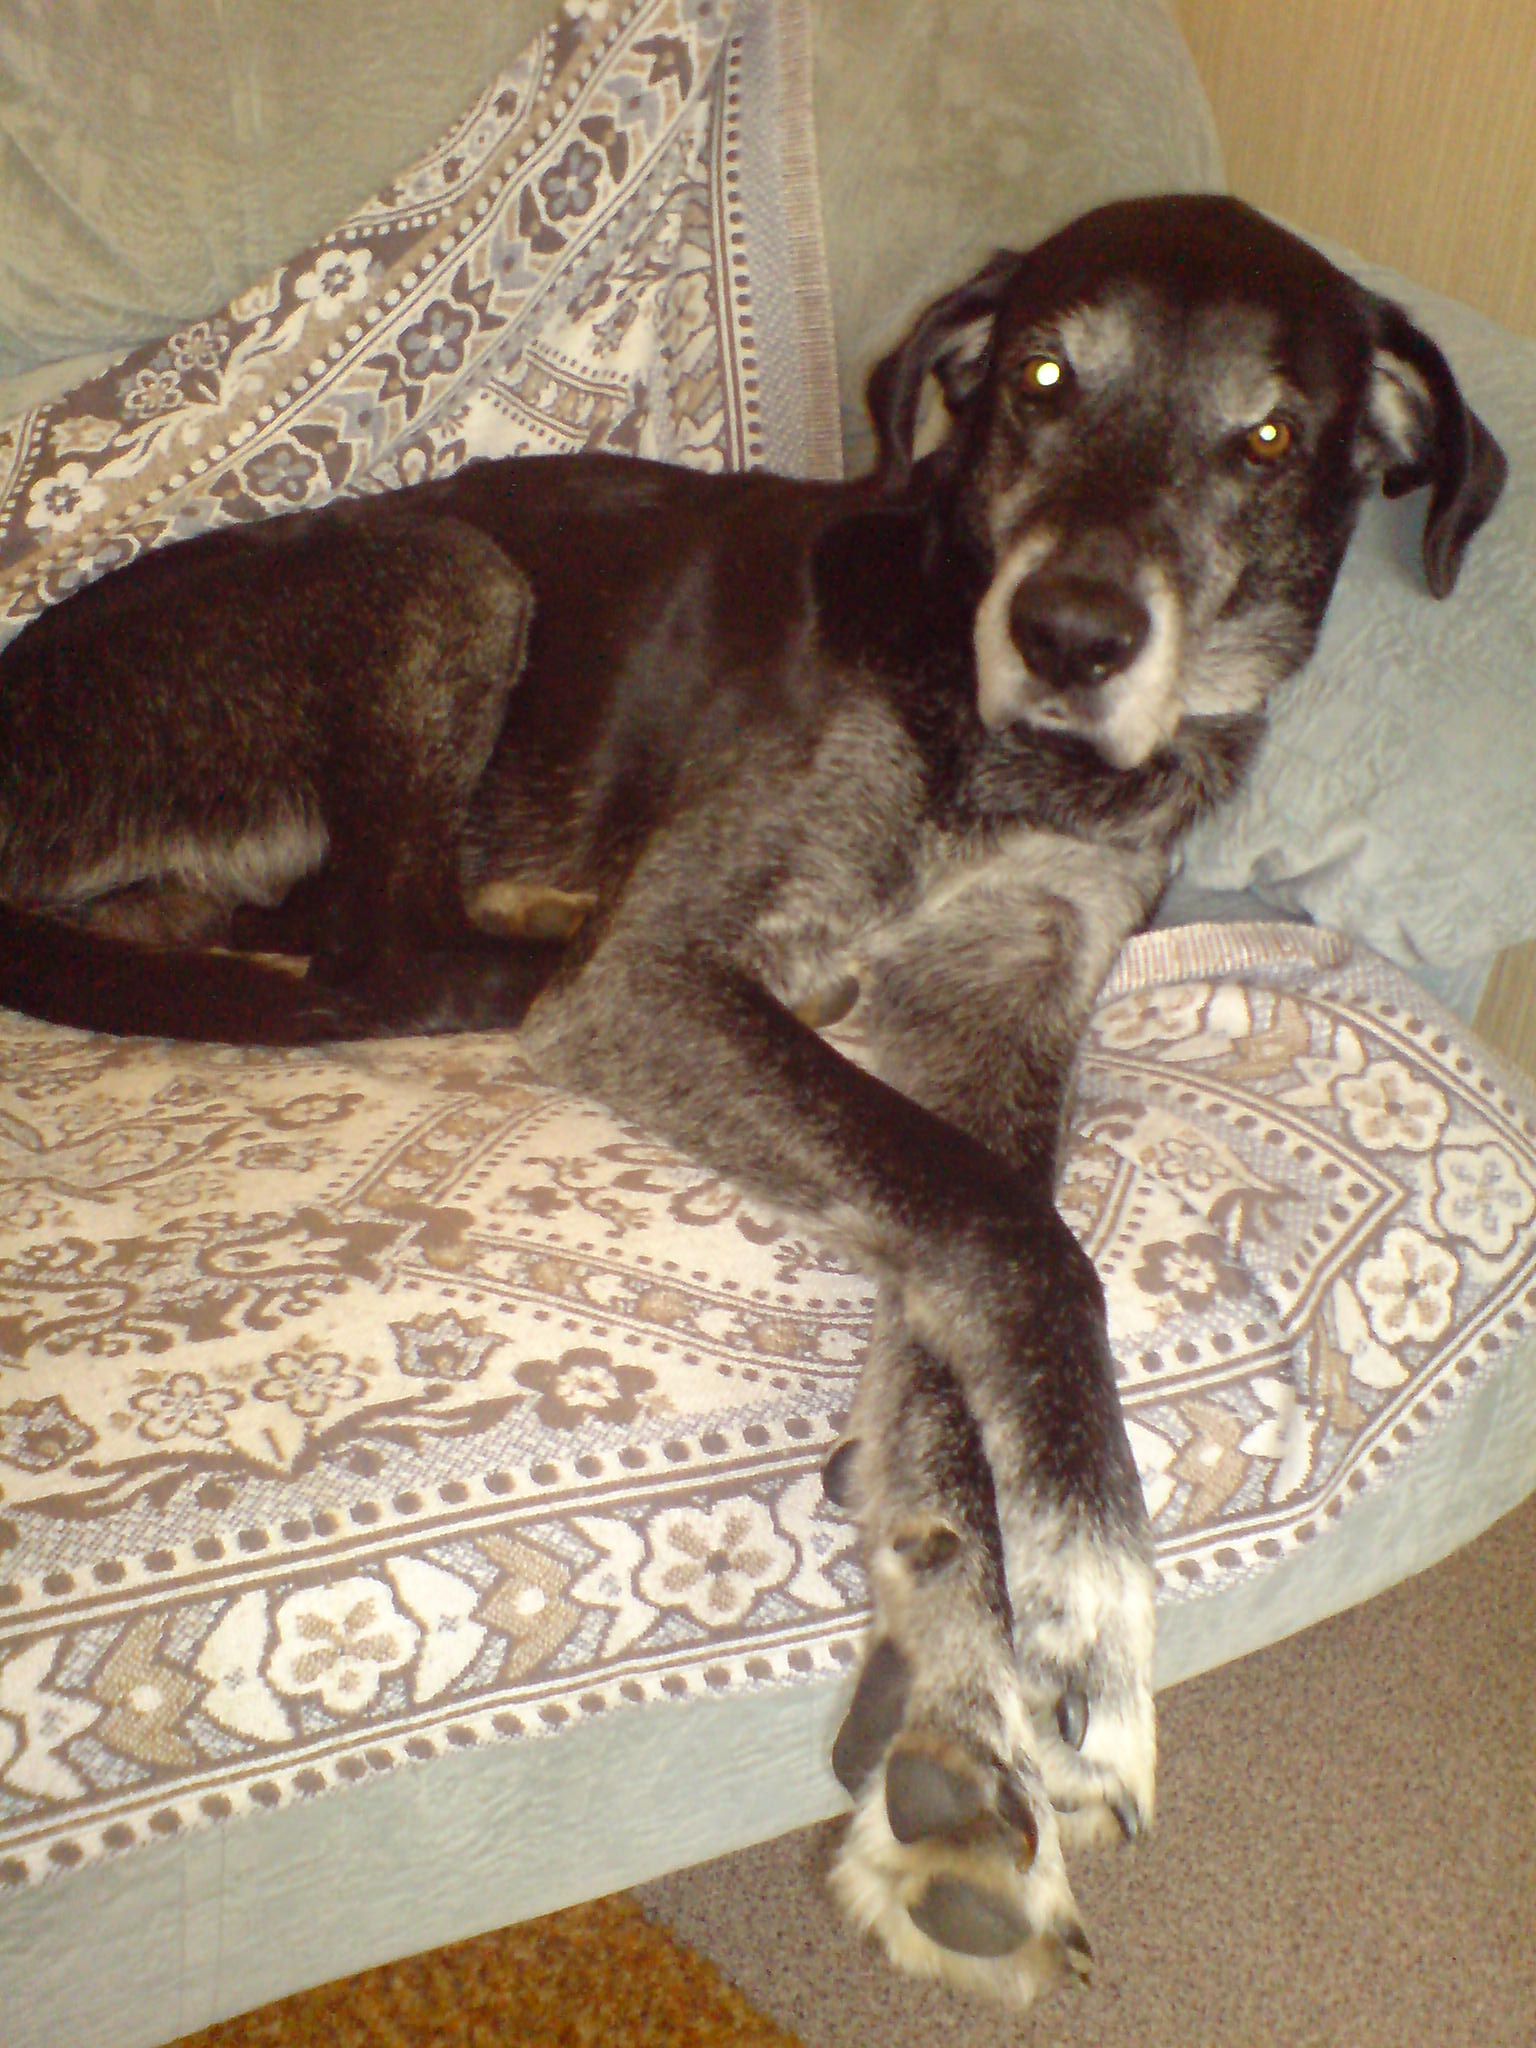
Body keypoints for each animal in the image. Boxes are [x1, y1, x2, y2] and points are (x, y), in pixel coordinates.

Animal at [0, 196, 1506, 2004]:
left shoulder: (1004, 1012)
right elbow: (1019, 1237)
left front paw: (960, 1706)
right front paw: (1087, 1591)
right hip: (440, 570)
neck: (1011, 737)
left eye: (1269, 439)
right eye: (1040, 380)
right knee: (373, 945)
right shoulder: (671, 976)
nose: (1072, 635)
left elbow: (959, 1295)